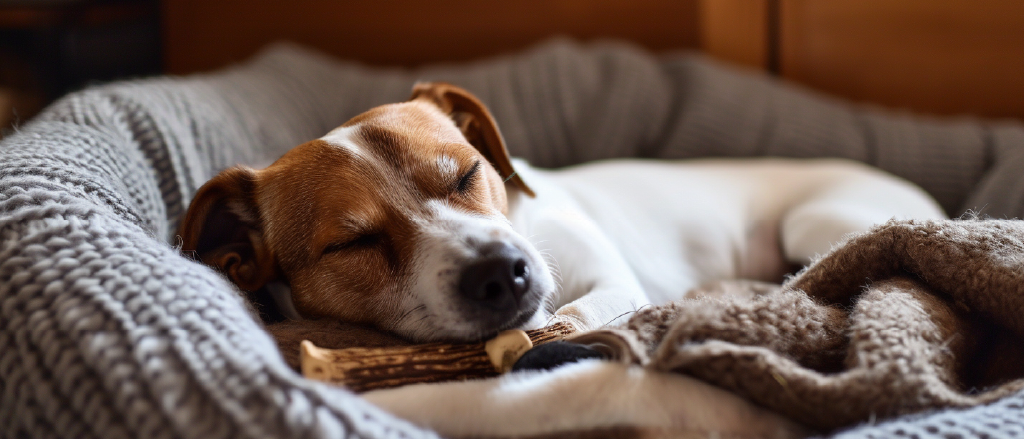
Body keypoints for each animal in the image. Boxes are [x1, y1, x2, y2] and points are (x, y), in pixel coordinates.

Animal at [180, 82, 946, 437]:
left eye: (467, 174)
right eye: (353, 243)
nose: (501, 271)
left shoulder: (608, 281)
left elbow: (577, 315)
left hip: (815, 220)